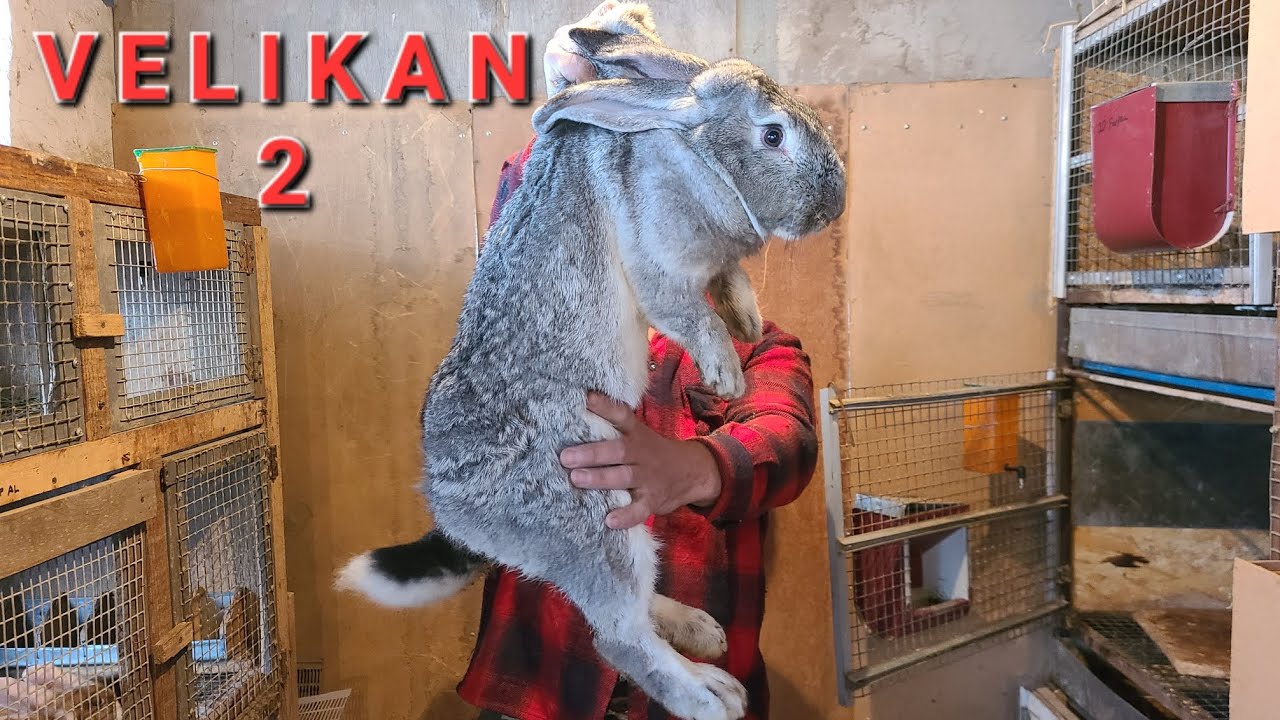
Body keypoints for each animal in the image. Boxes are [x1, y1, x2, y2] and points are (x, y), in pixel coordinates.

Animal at [335, 5, 845, 719]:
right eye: (773, 135)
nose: (833, 205)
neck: (690, 148)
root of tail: (454, 512)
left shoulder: (715, 264)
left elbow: (733, 282)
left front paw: (747, 322)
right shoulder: (660, 260)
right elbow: (688, 312)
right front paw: (726, 369)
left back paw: (702, 632)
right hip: (594, 522)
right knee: (618, 638)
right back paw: (710, 693)